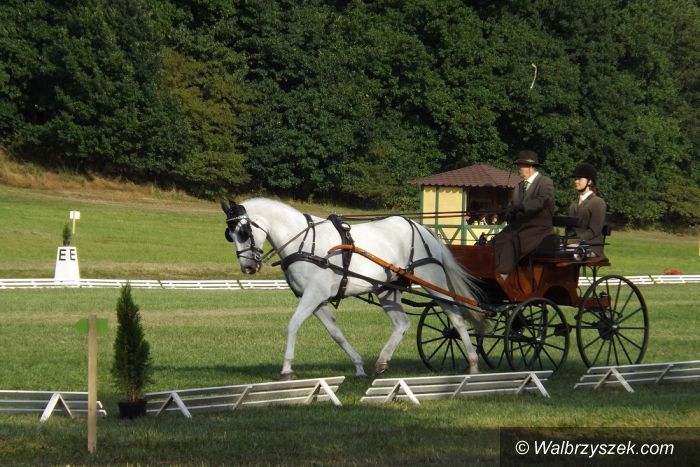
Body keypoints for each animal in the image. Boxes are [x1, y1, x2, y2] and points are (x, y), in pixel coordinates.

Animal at [221, 197, 483, 380]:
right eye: (229, 235)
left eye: (243, 232)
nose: (247, 267)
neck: (305, 243)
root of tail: (422, 228)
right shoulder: (317, 300)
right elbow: (336, 334)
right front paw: (358, 367)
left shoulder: (313, 295)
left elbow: (292, 324)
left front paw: (286, 369)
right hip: (386, 290)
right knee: (402, 324)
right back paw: (381, 363)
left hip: (434, 282)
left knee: (456, 317)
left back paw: (473, 364)